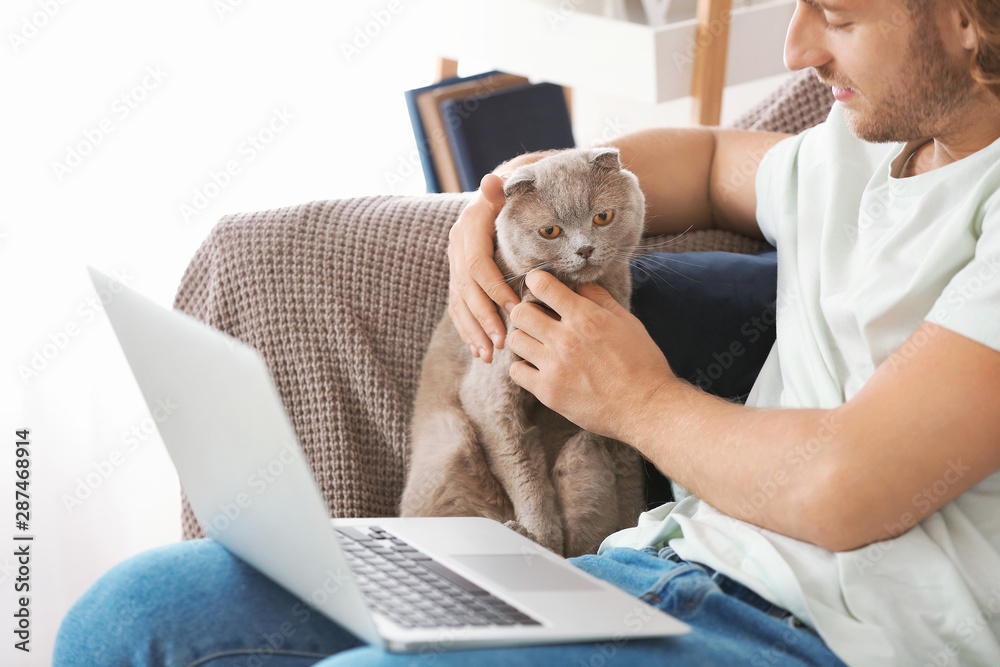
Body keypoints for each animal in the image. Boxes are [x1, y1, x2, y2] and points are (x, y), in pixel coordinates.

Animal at [400, 147, 648, 560]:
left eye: (602, 217)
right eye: (550, 231)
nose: (584, 249)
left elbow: (628, 480)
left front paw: (629, 533)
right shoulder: (490, 394)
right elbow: (525, 475)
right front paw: (540, 538)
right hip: (450, 437)